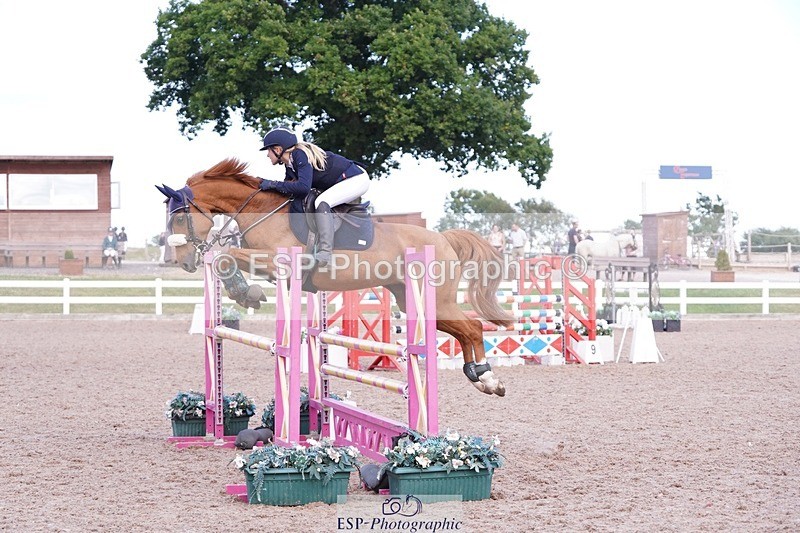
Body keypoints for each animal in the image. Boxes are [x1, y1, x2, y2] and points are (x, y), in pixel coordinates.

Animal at [156, 158, 514, 396]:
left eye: (179, 218)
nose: (183, 261)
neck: (262, 211)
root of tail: (443, 238)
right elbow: (225, 258)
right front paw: (244, 293)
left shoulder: (278, 262)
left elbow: (225, 255)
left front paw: (249, 294)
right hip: (415, 300)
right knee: (465, 332)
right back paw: (480, 378)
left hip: (436, 299)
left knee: (473, 328)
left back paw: (489, 379)